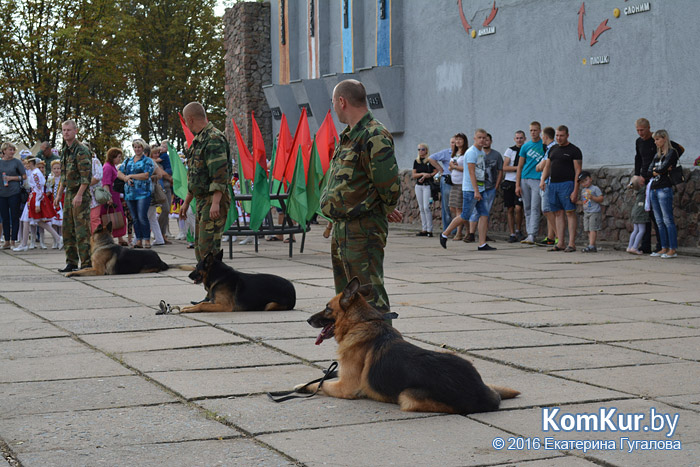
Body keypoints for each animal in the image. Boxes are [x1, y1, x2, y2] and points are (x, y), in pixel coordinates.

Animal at [65, 223, 193, 278]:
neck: (104, 244)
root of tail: (161, 261)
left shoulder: (98, 271)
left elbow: (82, 272)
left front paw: (71, 273)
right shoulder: (93, 267)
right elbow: (84, 269)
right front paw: (75, 270)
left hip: (144, 269)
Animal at [296, 278, 520, 414]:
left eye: (327, 308)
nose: (307, 319)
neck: (361, 322)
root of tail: (480, 392)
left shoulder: (345, 388)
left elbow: (320, 384)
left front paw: (301, 387)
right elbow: (325, 377)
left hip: (406, 396)